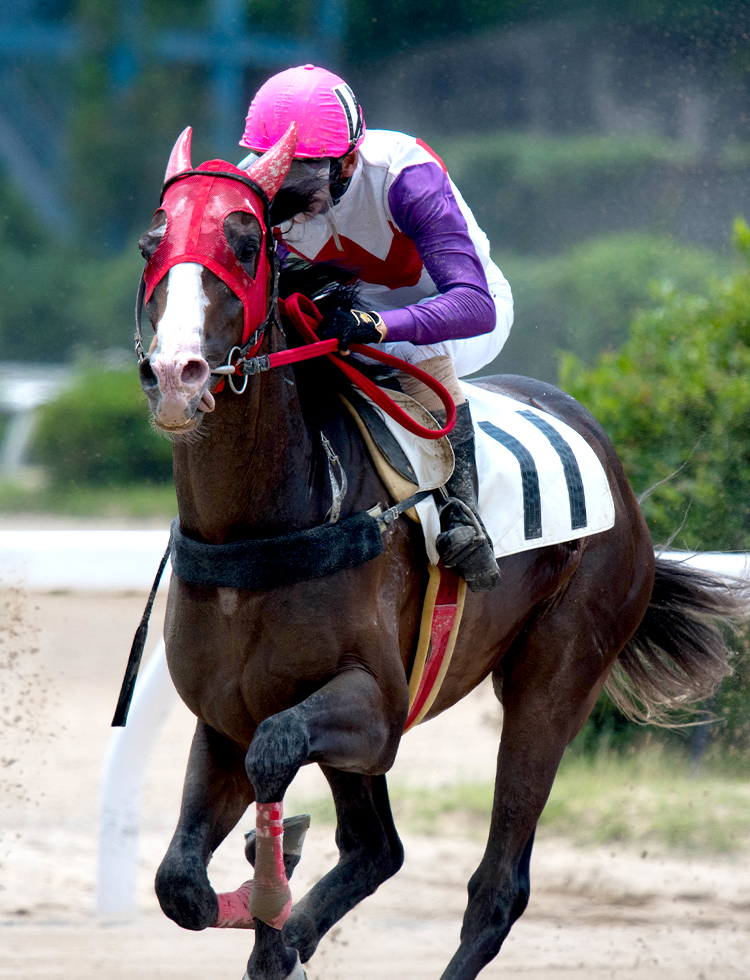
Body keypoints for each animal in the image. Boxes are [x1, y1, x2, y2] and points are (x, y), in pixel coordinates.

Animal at [135, 122, 748, 980]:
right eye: (151, 243)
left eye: (248, 242)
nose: (176, 374)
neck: (259, 528)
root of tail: (621, 483)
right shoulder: (224, 715)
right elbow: (180, 885)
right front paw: (272, 906)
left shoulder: (375, 708)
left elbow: (276, 751)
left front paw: (273, 886)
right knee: (377, 850)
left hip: (555, 679)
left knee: (496, 886)